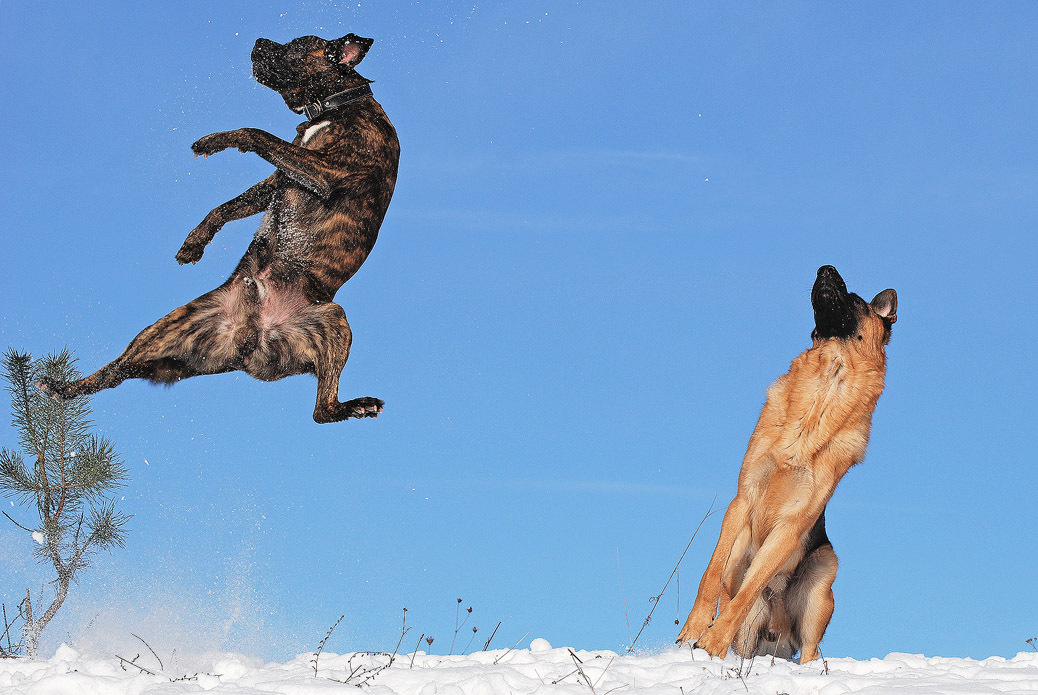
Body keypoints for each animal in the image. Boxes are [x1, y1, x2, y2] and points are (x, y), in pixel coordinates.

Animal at [41, 33, 396, 425]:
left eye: (295, 47)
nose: (259, 40)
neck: (337, 105)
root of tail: (250, 338)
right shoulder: (280, 180)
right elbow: (226, 206)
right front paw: (194, 243)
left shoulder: (326, 172)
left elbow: (256, 133)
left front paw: (214, 140)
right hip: (165, 331)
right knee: (116, 370)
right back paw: (62, 387)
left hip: (334, 318)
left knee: (322, 411)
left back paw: (356, 405)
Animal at [676, 265, 896, 663]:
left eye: (855, 298)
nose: (825, 268)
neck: (824, 390)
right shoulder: (741, 501)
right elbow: (711, 574)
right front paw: (694, 633)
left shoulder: (791, 526)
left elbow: (749, 589)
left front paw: (712, 643)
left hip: (822, 579)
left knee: (810, 650)